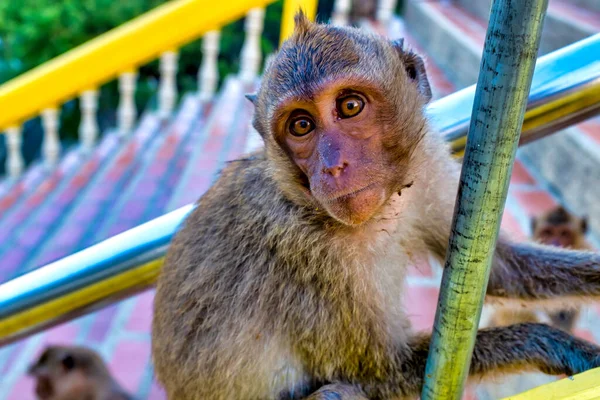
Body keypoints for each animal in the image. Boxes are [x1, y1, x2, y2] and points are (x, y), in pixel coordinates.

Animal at [152, 13, 600, 400]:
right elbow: (382, 370)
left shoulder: (427, 166)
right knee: (338, 392)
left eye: (350, 106)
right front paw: (553, 344)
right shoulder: (314, 259)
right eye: (301, 125)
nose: (333, 166)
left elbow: (501, 273)